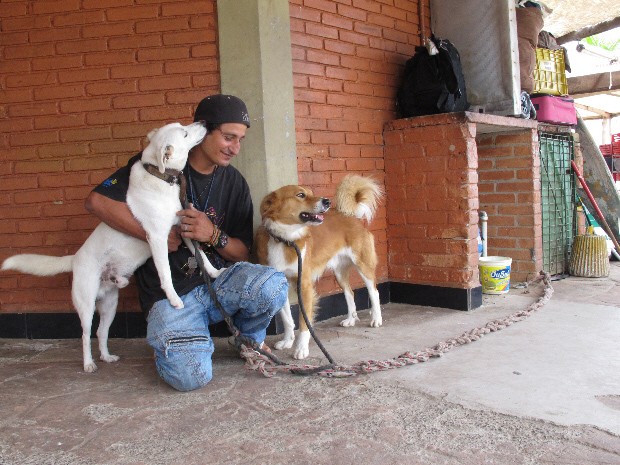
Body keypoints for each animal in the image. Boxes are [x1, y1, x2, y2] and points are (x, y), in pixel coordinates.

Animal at [2, 121, 223, 372]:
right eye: (184, 133)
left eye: (183, 126)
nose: (204, 123)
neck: (160, 178)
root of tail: (75, 258)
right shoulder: (158, 239)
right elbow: (165, 273)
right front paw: (175, 299)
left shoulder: (184, 228)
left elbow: (202, 255)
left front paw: (216, 272)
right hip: (86, 304)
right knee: (85, 334)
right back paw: (89, 364)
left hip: (110, 305)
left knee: (101, 331)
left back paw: (106, 356)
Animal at [256, 174, 382, 358]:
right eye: (301, 195)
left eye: (311, 193)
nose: (327, 201)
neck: (287, 240)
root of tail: (350, 216)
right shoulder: (281, 284)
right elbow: (287, 319)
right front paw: (287, 341)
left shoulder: (304, 285)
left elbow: (304, 322)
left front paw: (301, 348)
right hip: (339, 272)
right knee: (350, 292)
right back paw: (351, 319)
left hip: (363, 265)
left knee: (374, 291)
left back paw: (376, 319)